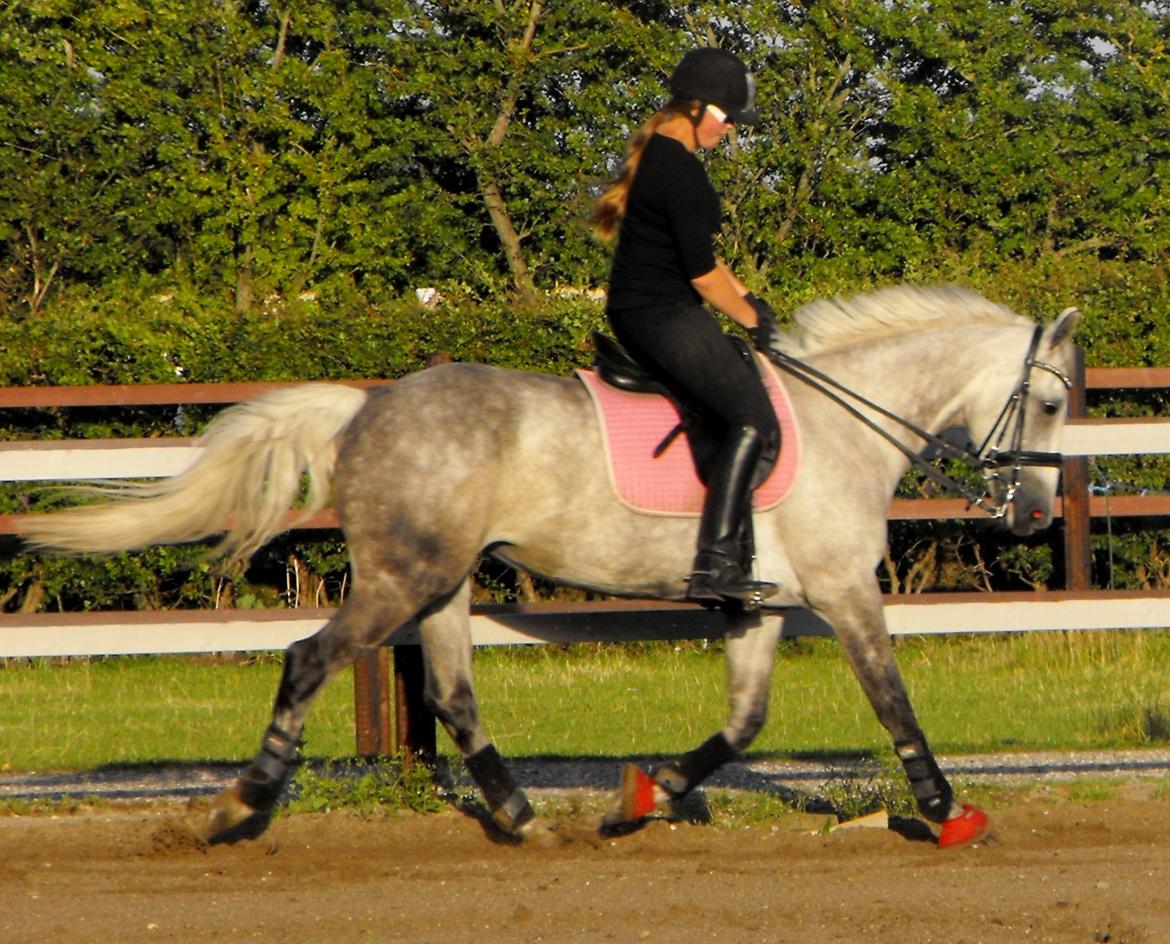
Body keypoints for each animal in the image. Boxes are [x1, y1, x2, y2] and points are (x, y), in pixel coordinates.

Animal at [25, 286, 1076, 846]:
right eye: (1057, 404)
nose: (1033, 513)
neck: (845, 422)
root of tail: (368, 406)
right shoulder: (846, 591)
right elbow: (893, 701)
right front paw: (948, 812)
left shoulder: (761, 606)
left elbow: (744, 723)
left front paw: (648, 795)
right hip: (406, 578)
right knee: (311, 659)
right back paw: (240, 807)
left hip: (444, 582)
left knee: (450, 691)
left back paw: (521, 814)